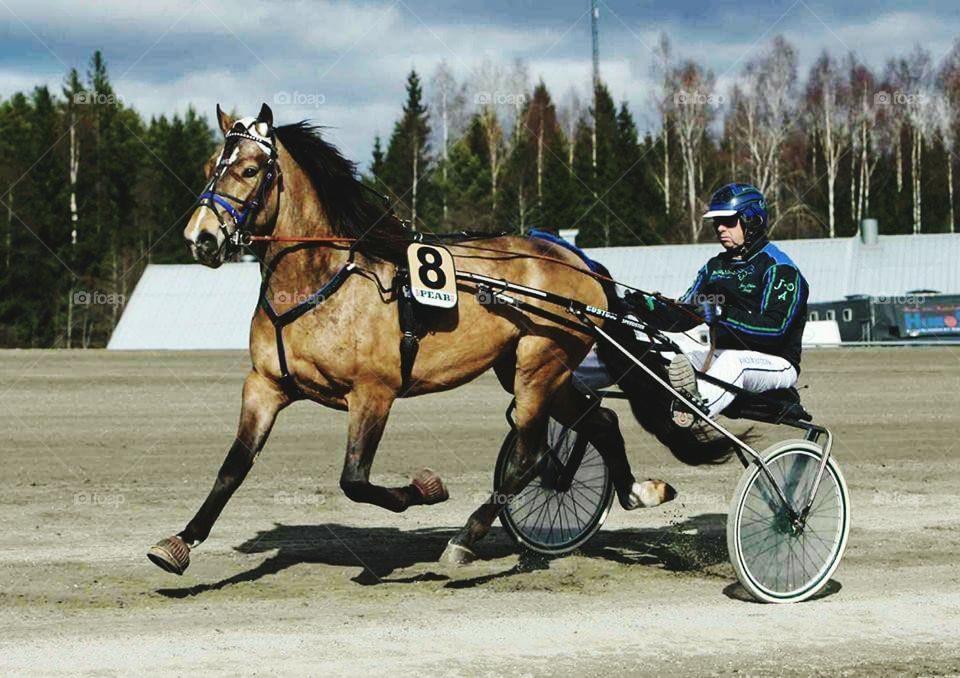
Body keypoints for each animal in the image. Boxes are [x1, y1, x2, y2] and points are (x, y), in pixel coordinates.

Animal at [147, 103, 731, 575]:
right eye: (211, 166)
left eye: (249, 169)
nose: (201, 238)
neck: (320, 283)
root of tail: (578, 261)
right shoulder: (265, 385)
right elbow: (233, 467)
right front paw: (179, 543)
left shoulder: (373, 393)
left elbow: (355, 479)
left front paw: (425, 490)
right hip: (533, 367)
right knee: (598, 421)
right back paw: (638, 492)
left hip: (540, 363)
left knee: (531, 453)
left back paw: (466, 538)